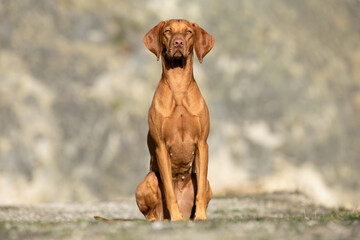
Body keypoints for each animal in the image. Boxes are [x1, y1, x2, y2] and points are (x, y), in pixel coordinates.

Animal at [135, 18, 214, 221]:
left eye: (188, 32)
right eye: (167, 31)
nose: (178, 42)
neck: (178, 87)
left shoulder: (202, 144)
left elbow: (200, 192)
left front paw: (201, 216)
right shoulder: (161, 147)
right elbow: (170, 191)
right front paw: (176, 217)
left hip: (206, 182)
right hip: (148, 180)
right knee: (150, 212)